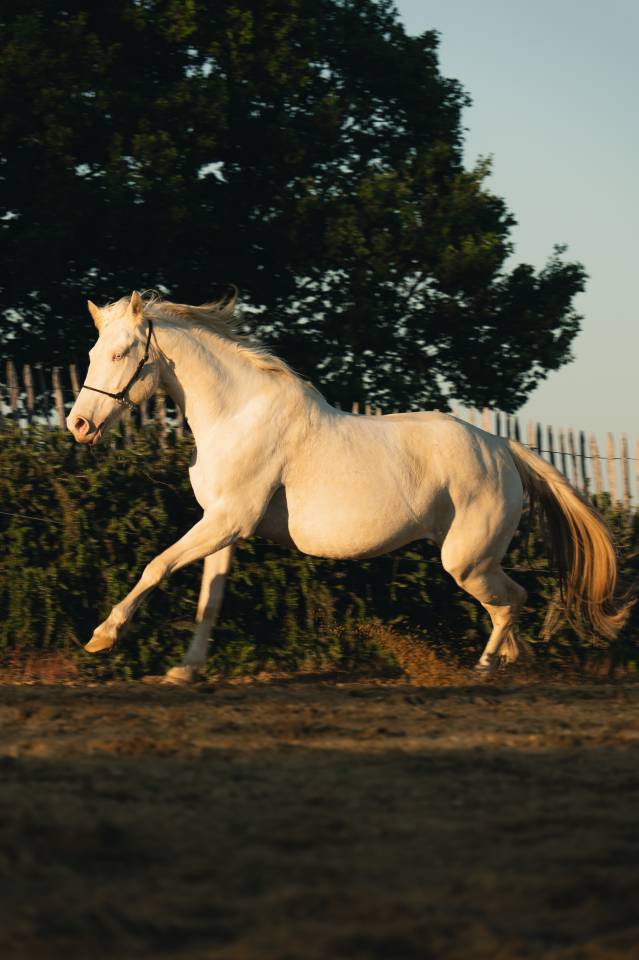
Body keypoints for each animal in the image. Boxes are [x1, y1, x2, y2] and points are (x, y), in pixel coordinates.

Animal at [66, 290, 629, 682]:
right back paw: (513, 660)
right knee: (507, 606)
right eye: (93, 351)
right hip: (474, 562)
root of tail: (502, 448)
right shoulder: (223, 527)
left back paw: (485, 669)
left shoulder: (228, 521)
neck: (238, 414)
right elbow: (211, 600)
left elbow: (156, 566)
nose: (78, 425)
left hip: (467, 561)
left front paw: (102, 637)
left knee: (512, 601)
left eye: (119, 354)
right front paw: (185, 669)